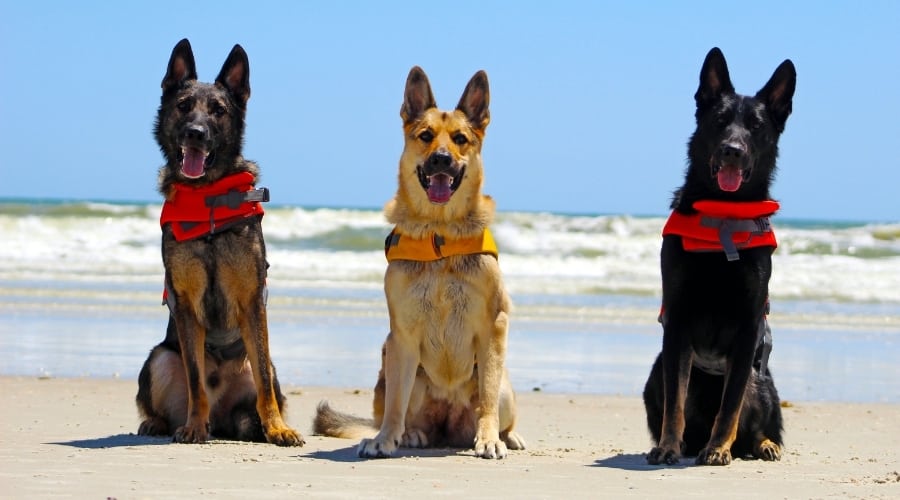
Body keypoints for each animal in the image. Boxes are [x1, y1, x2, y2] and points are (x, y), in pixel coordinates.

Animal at [134, 38, 302, 446]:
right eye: (183, 106)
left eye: (218, 110)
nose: (195, 132)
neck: (207, 196)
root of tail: (224, 418)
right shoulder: (185, 306)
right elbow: (196, 380)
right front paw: (194, 426)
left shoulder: (252, 301)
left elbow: (263, 382)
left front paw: (277, 428)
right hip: (159, 358)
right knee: (170, 399)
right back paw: (163, 423)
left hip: (262, 365)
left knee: (262, 384)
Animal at [316, 67, 528, 460]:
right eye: (426, 136)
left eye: (460, 139)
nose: (441, 159)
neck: (438, 234)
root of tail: (449, 428)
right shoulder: (401, 335)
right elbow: (395, 406)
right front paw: (384, 439)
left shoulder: (494, 326)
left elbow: (488, 397)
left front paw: (490, 438)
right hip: (391, 363)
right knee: (401, 409)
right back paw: (410, 434)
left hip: (505, 384)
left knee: (494, 400)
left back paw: (506, 435)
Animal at [644, 47, 800, 464]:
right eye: (719, 121)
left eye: (756, 127)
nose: (733, 149)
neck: (723, 217)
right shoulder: (678, 323)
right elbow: (676, 401)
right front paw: (668, 446)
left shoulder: (748, 327)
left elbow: (730, 404)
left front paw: (717, 448)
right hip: (655, 372)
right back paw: (683, 444)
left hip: (762, 383)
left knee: (755, 423)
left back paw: (760, 445)